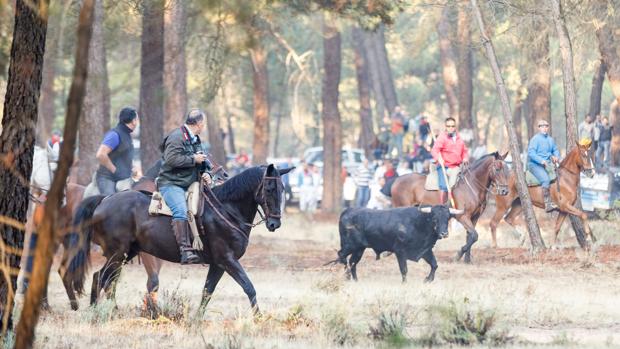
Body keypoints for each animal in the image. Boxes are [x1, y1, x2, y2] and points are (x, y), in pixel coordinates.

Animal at [64, 164, 292, 312]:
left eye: (282, 189)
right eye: (269, 188)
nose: (275, 223)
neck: (225, 209)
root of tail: (105, 199)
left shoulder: (218, 264)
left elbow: (207, 292)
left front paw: (197, 320)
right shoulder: (227, 260)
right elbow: (249, 287)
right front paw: (259, 318)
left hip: (126, 254)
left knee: (104, 278)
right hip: (117, 253)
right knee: (104, 279)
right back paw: (102, 312)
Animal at [332, 205, 462, 282]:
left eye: (448, 217)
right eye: (435, 218)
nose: (444, 233)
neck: (419, 223)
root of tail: (348, 210)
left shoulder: (425, 250)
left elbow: (434, 265)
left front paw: (428, 279)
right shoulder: (400, 251)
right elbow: (404, 270)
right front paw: (405, 283)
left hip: (359, 249)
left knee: (352, 262)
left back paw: (355, 280)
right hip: (349, 245)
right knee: (342, 256)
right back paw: (347, 276)